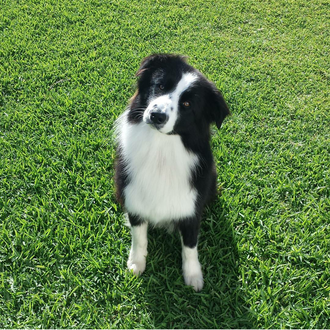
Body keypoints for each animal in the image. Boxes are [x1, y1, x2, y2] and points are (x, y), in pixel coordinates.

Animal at [114, 54, 231, 292]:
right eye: (160, 86)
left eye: (187, 104)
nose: (156, 115)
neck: (161, 148)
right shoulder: (133, 198)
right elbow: (139, 237)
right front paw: (136, 263)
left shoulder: (191, 208)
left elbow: (190, 245)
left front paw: (193, 276)